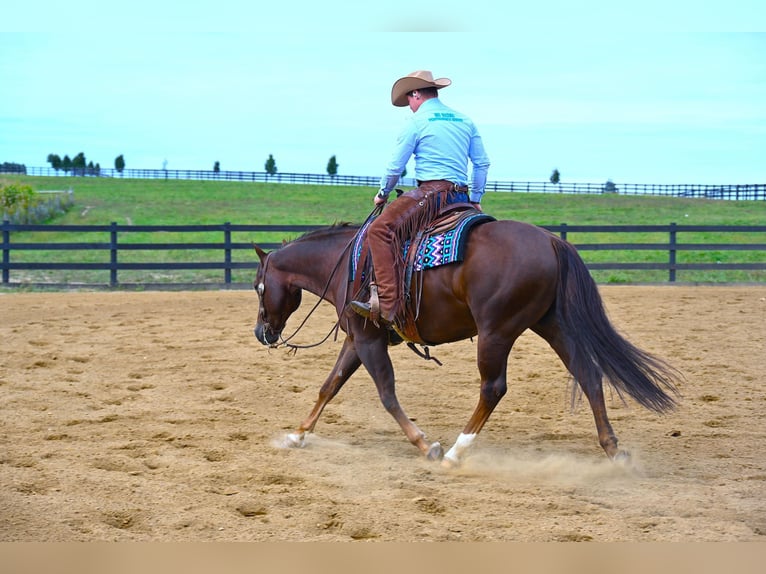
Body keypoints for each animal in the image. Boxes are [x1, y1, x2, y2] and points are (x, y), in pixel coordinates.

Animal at [255, 218, 680, 466]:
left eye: (259, 287)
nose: (262, 333)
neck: (346, 263)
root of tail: (550, 241)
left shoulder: (367, 340)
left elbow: (386, 393)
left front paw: (425, 444)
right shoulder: (357, 338)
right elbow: (329, 386)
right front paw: (296, 435)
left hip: (496, 332)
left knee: (493, 388)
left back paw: (457, 451)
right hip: (552, 323)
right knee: (588, 374)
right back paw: (613, 449)